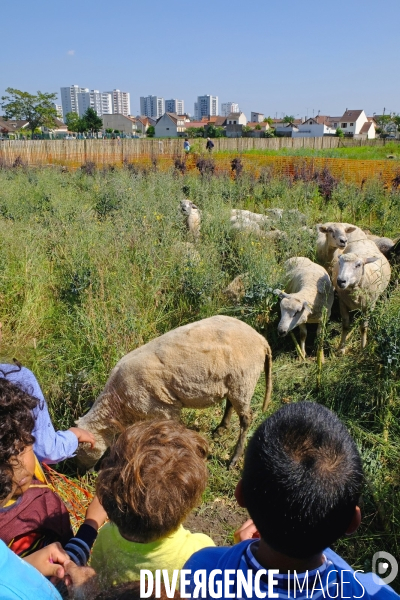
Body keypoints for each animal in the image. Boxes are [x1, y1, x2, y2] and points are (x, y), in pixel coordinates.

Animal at [76, 314, 272, 468]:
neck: (118, 403)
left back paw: (234, 459)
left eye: (79, 452)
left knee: (246, 418)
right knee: (230, 403)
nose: (78, 473)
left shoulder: (164, 408)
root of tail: (261, 340)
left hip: (244, 381)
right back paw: (220, 429)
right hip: (233, 382)